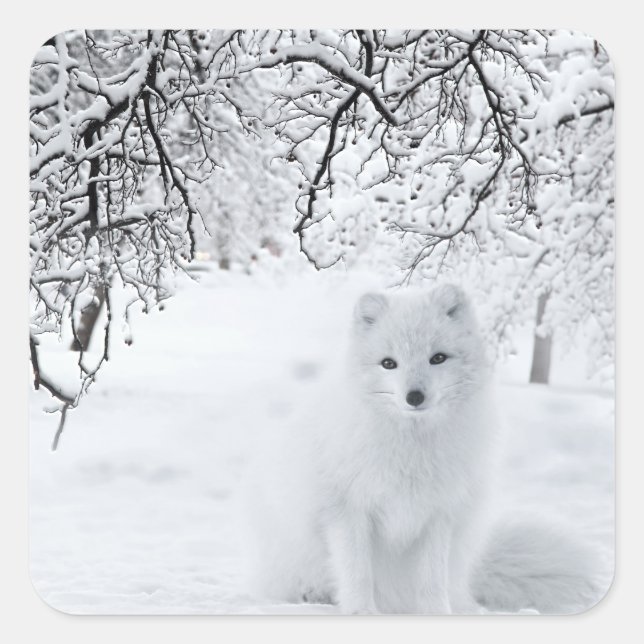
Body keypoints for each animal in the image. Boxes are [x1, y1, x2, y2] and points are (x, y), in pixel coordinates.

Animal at [242, 284, 605, 614]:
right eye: (389, 363)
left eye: (438, 358)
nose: (414, 396)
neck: (411, 450)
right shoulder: (346, 510)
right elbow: (357, 572)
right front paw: (361, 613)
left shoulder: (438, 514)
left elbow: (431, 578)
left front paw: (436, 614)